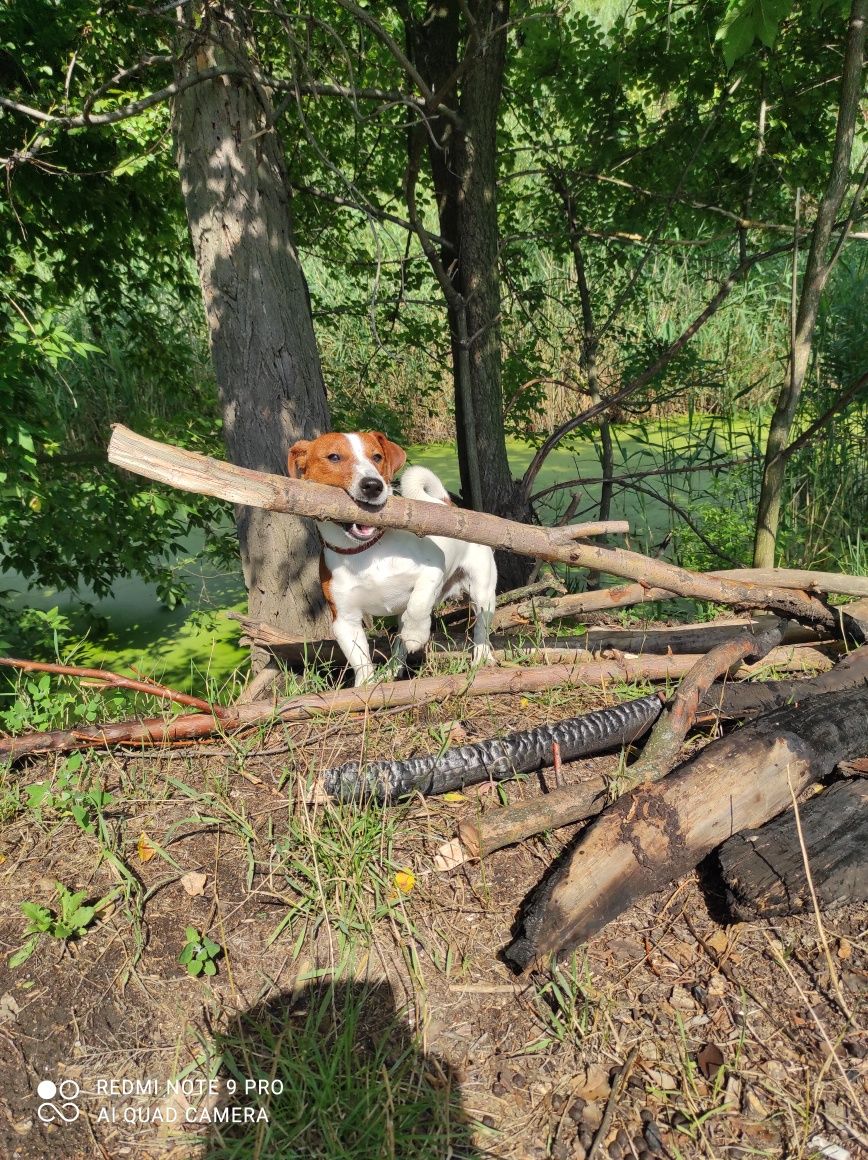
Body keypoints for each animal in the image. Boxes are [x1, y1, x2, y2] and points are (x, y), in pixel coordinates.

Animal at [290, 431, 498, 682]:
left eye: (377, 457)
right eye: (334, 457)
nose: (373, 485)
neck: (367, 552)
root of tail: (447, 504)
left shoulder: (432, 570)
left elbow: (419, 604)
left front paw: (416, 634)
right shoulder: (344, 620)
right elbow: (361, 661)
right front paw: (366, 686)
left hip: (482, 591)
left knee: (480, 628)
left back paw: (481, 658)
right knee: (398, 643)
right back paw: (392, 669)